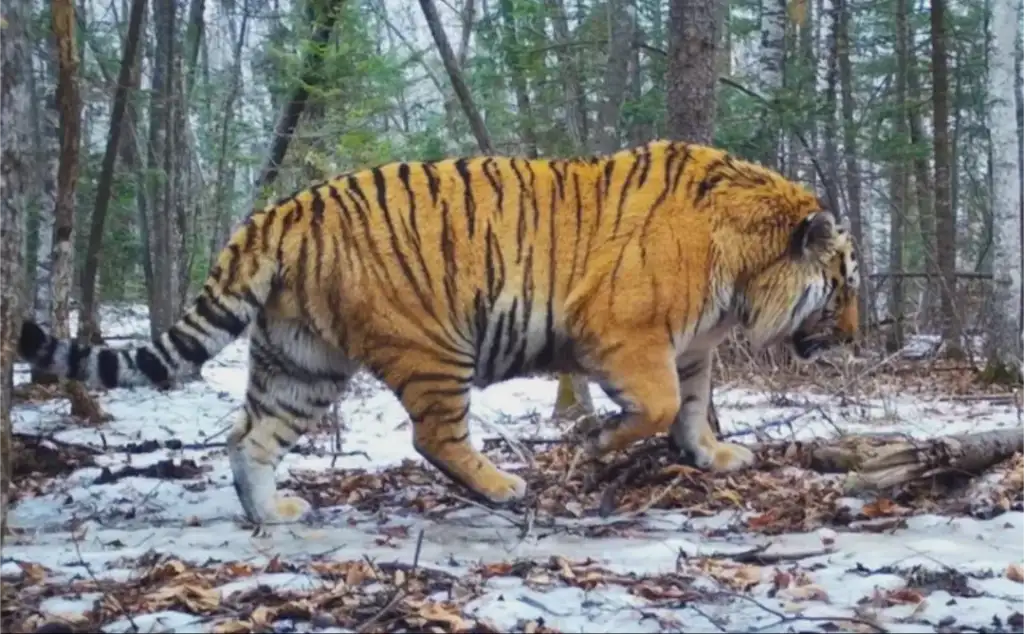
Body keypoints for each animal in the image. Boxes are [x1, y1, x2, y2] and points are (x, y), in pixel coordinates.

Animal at [19, 141, 860, 528]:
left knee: (247, 436)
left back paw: (272, 514)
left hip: (301, 363)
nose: (854, 337)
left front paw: (714, 456)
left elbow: (690, 409)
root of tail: (281, 210)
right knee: (435, 438)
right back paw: (503, 486)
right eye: (846, 284)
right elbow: (652, 407)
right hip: (433, 346)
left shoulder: (691, 348)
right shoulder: (625, 335)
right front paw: (593, 446)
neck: (740, 272)